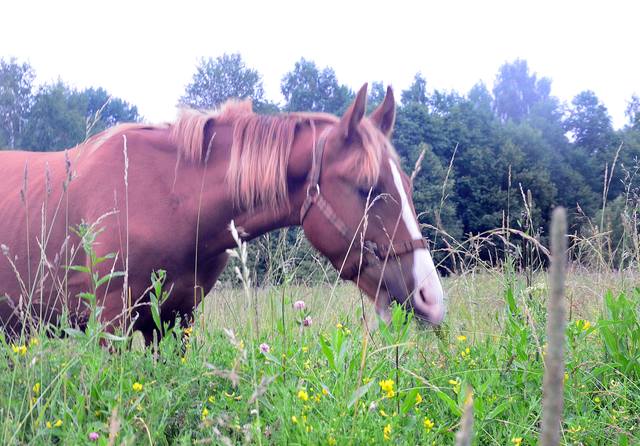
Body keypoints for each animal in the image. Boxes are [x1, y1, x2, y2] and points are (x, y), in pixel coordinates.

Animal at [0, 83, 442, 342]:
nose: (431, 297)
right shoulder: (110, 324)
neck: (167, 199)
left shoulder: (175, 320)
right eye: (368, 187)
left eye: (407, 184)